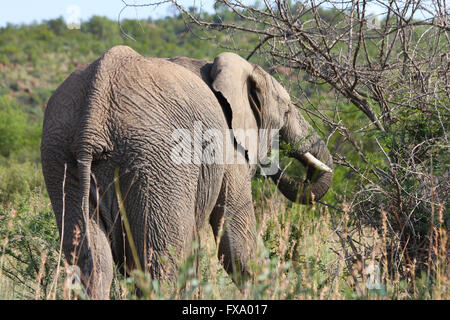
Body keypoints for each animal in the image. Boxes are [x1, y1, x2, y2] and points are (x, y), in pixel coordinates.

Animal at [40, 44, 332, 298]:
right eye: (287, 110)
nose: (278, 165)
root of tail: (95, 113)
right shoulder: (226, 145)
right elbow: (237, 241)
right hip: (157, 159)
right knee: (162, 265)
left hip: (61, 158)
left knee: (92, 265)